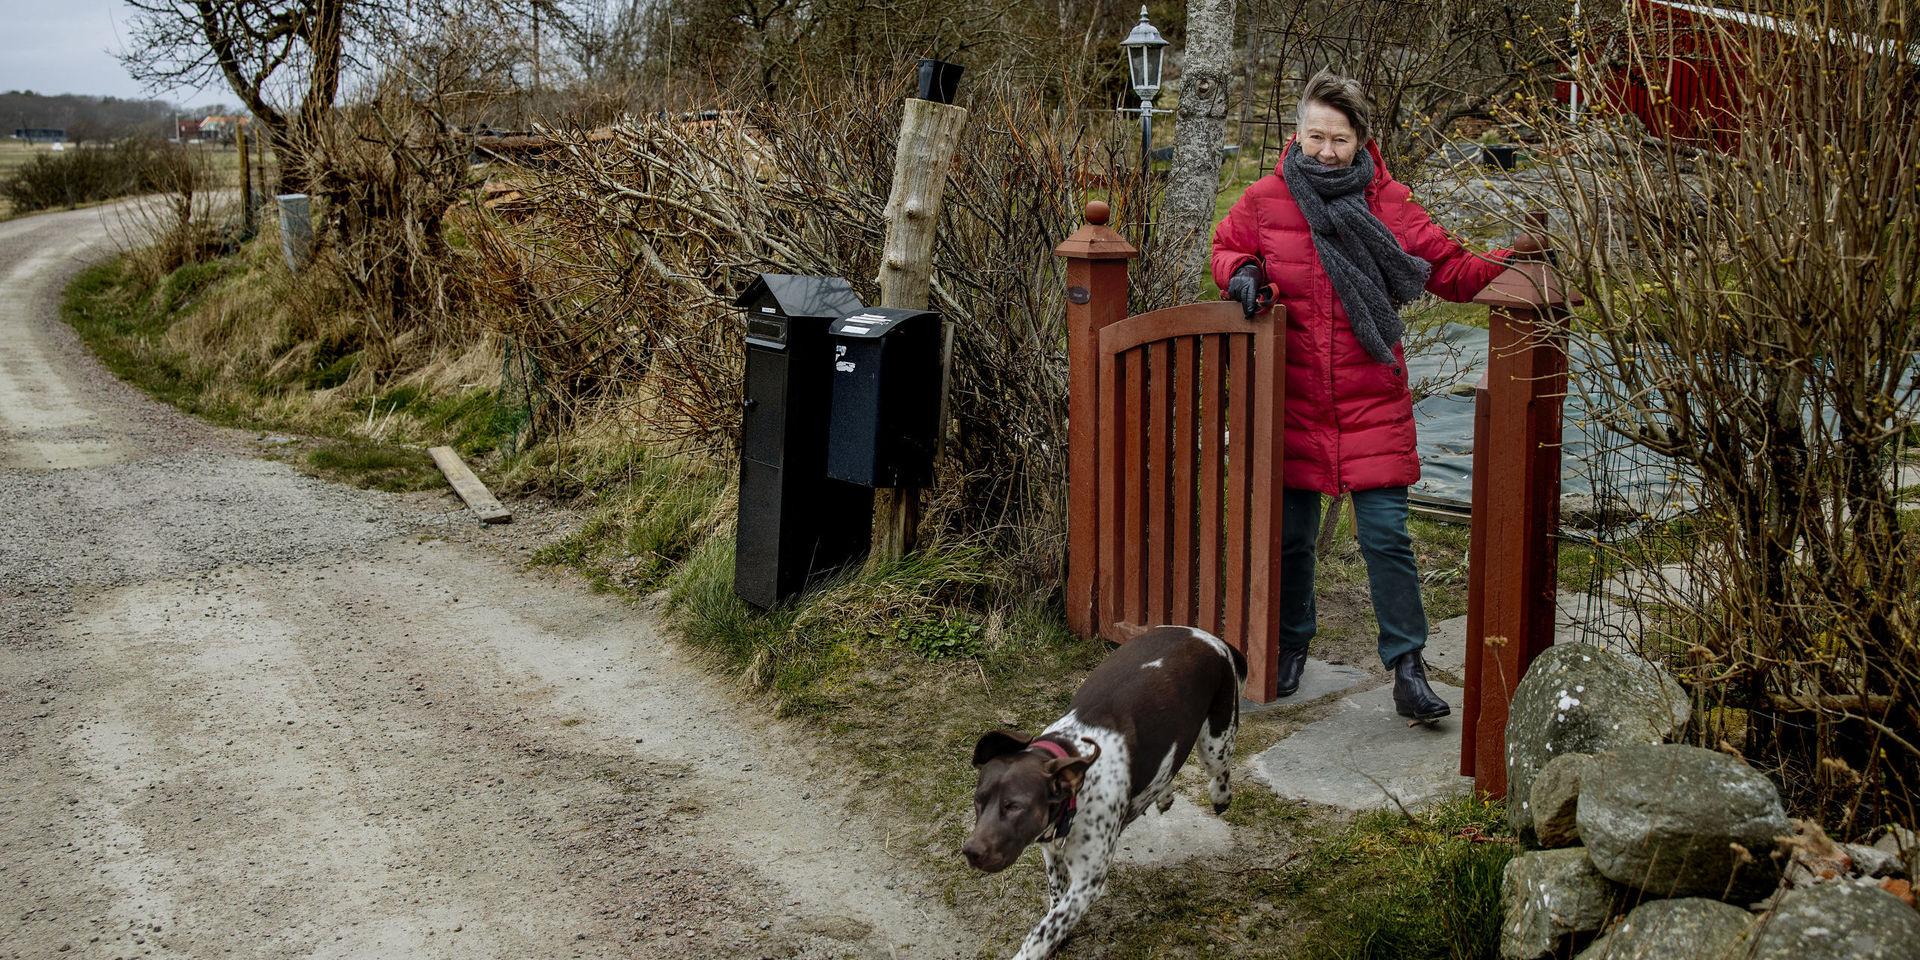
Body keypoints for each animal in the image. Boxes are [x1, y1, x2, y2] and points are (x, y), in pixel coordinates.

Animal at [960, 625, 1244, 956]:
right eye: (978, 801)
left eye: (1014, 806)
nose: (971, 851)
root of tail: (1209, 636)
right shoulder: (1051, 854)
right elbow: (1055, 900)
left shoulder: (1088, 881)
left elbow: (1043, 931)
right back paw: (1164, 794)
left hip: (1215, 744)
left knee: (1221, 771)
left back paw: (1220, 796)